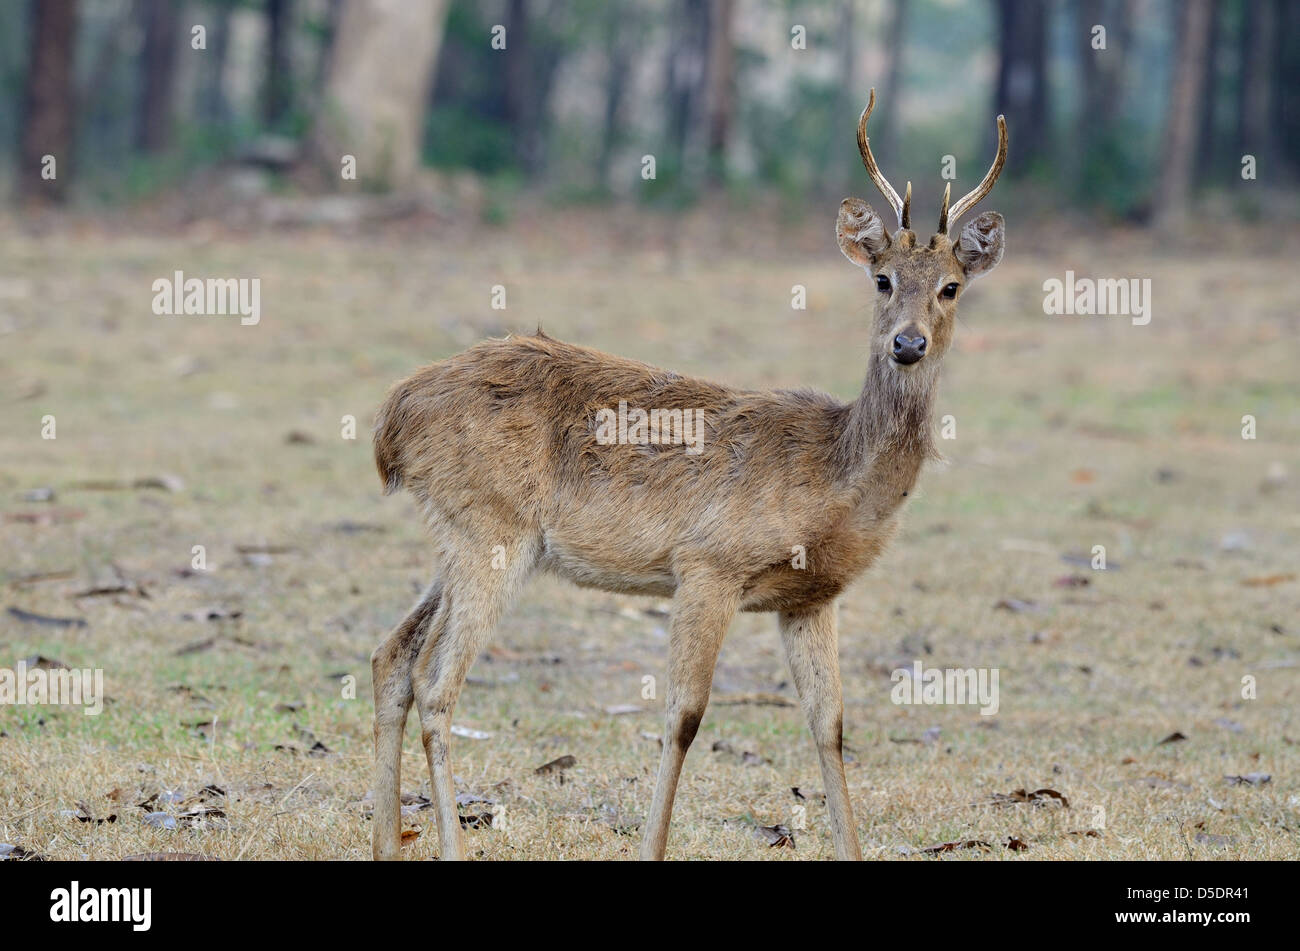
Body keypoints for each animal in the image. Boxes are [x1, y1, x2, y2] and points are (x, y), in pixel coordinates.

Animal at [366, 90, 1003, 862]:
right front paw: (651, 844)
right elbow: (685, 715)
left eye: (951, 287)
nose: (907, 343)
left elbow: (830, 725)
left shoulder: (811, 597)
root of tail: (394, 415)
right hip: (492, 526)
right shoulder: (707, 563)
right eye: (882, 280)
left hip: (463, 532)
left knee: (392, 655)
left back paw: (385, 841)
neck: (833, 480)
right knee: (436, 682)